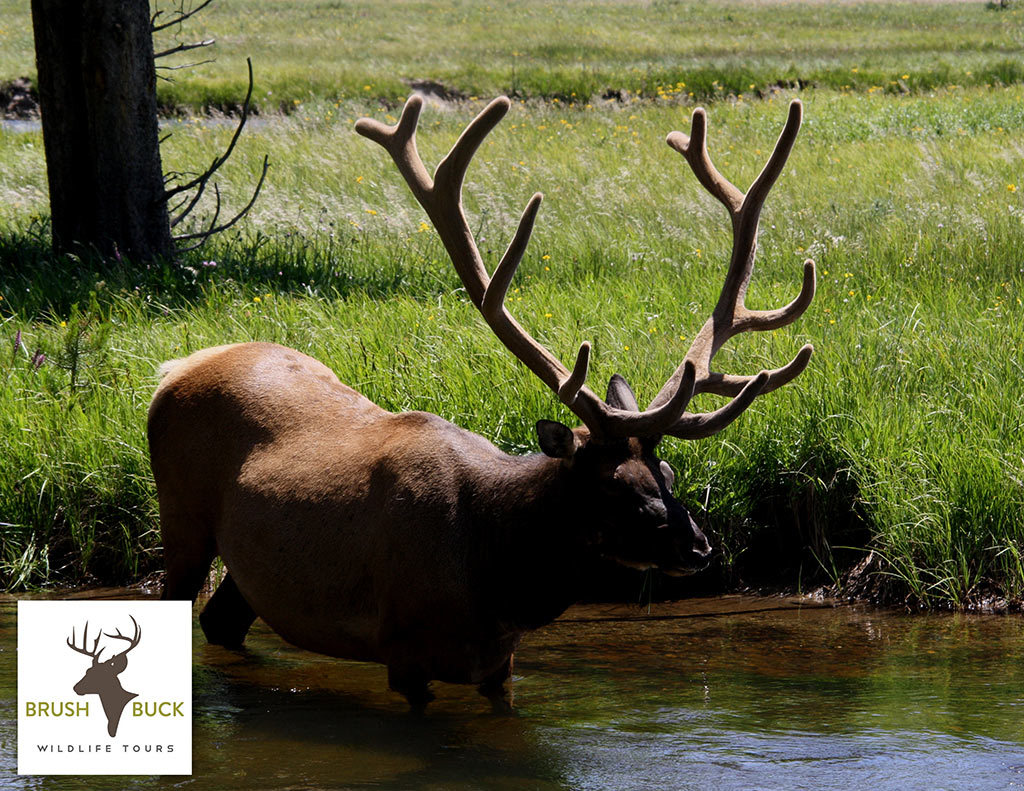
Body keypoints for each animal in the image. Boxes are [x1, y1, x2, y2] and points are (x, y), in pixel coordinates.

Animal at [148, 94, 815, 709]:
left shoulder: (500, 662)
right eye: (615, 485)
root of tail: (175, 367)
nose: (699, 547)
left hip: (246, 565)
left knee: (221, 621)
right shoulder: (404, 650)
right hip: (180, 519)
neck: (498, 584)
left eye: (669, 472)